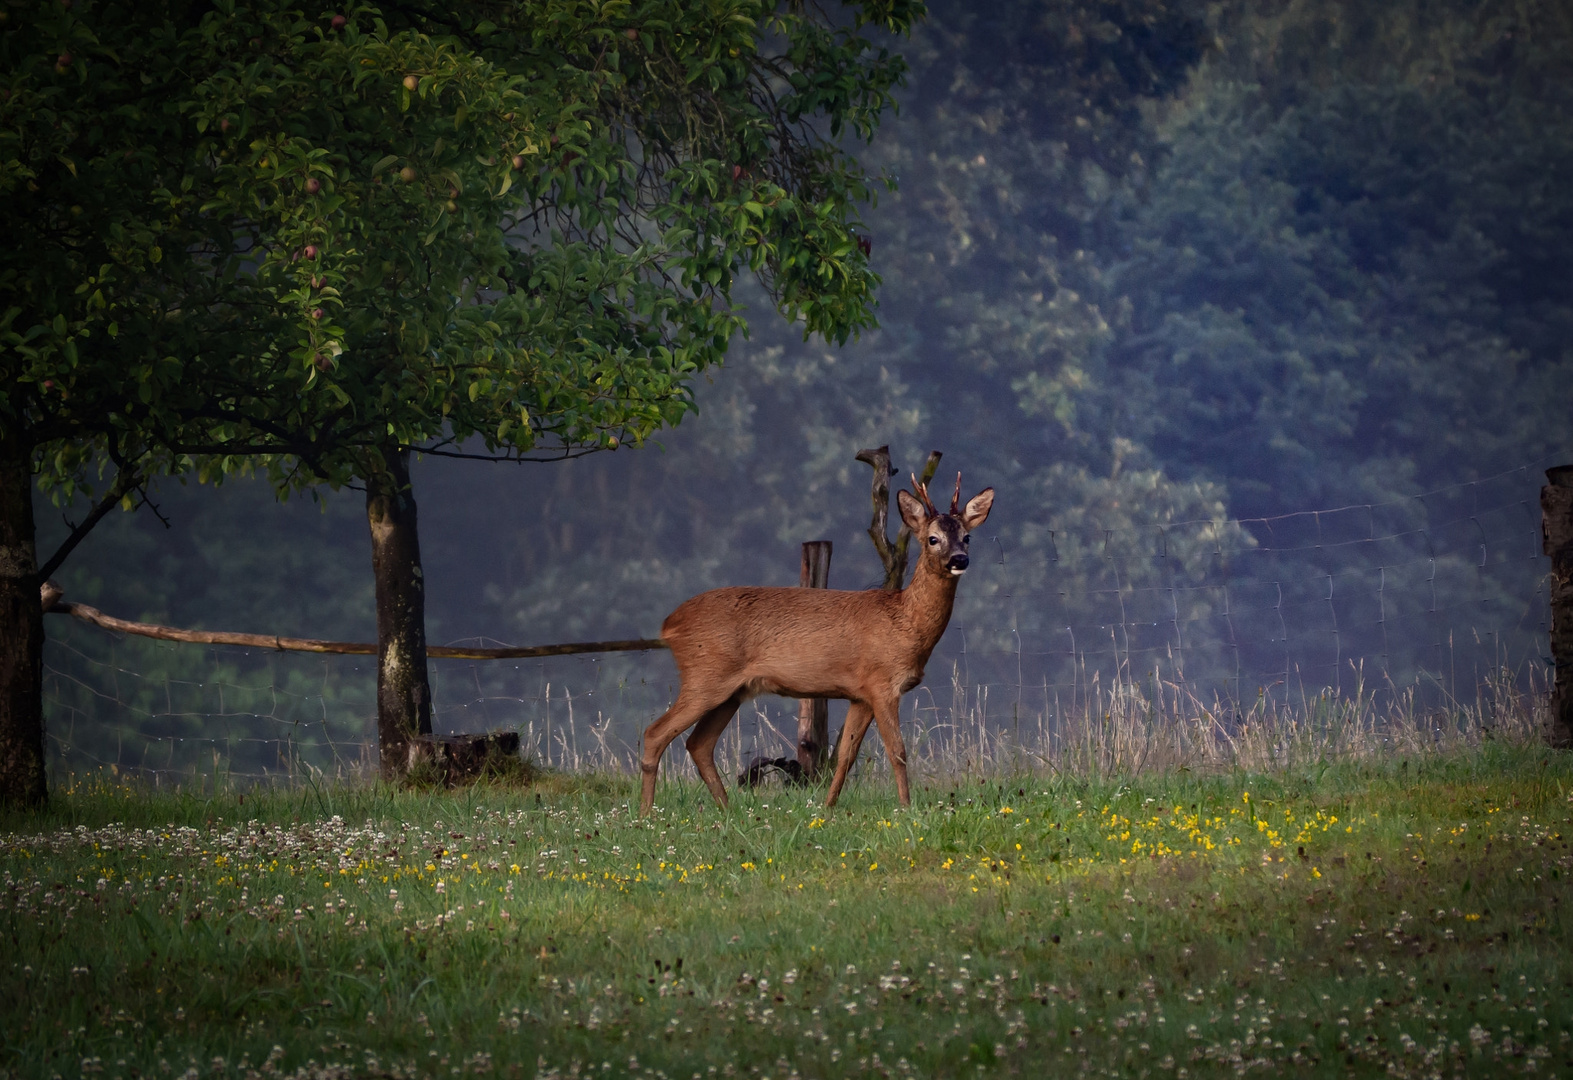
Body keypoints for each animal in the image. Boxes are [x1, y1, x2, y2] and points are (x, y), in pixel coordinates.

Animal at [641, 477, 994, 817]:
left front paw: (828, 807)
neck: (905, 622)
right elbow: (898, 751)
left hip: (732, 691)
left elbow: (846, 756)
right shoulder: (882, 683)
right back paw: (647, 815)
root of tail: (669, 625)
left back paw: (728, 810)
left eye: (967, 537)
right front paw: (906, 809)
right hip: (705, 676)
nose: (959, 559)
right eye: (933, 538)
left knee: (699, 744)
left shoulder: (860, 695)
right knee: (655, 732)